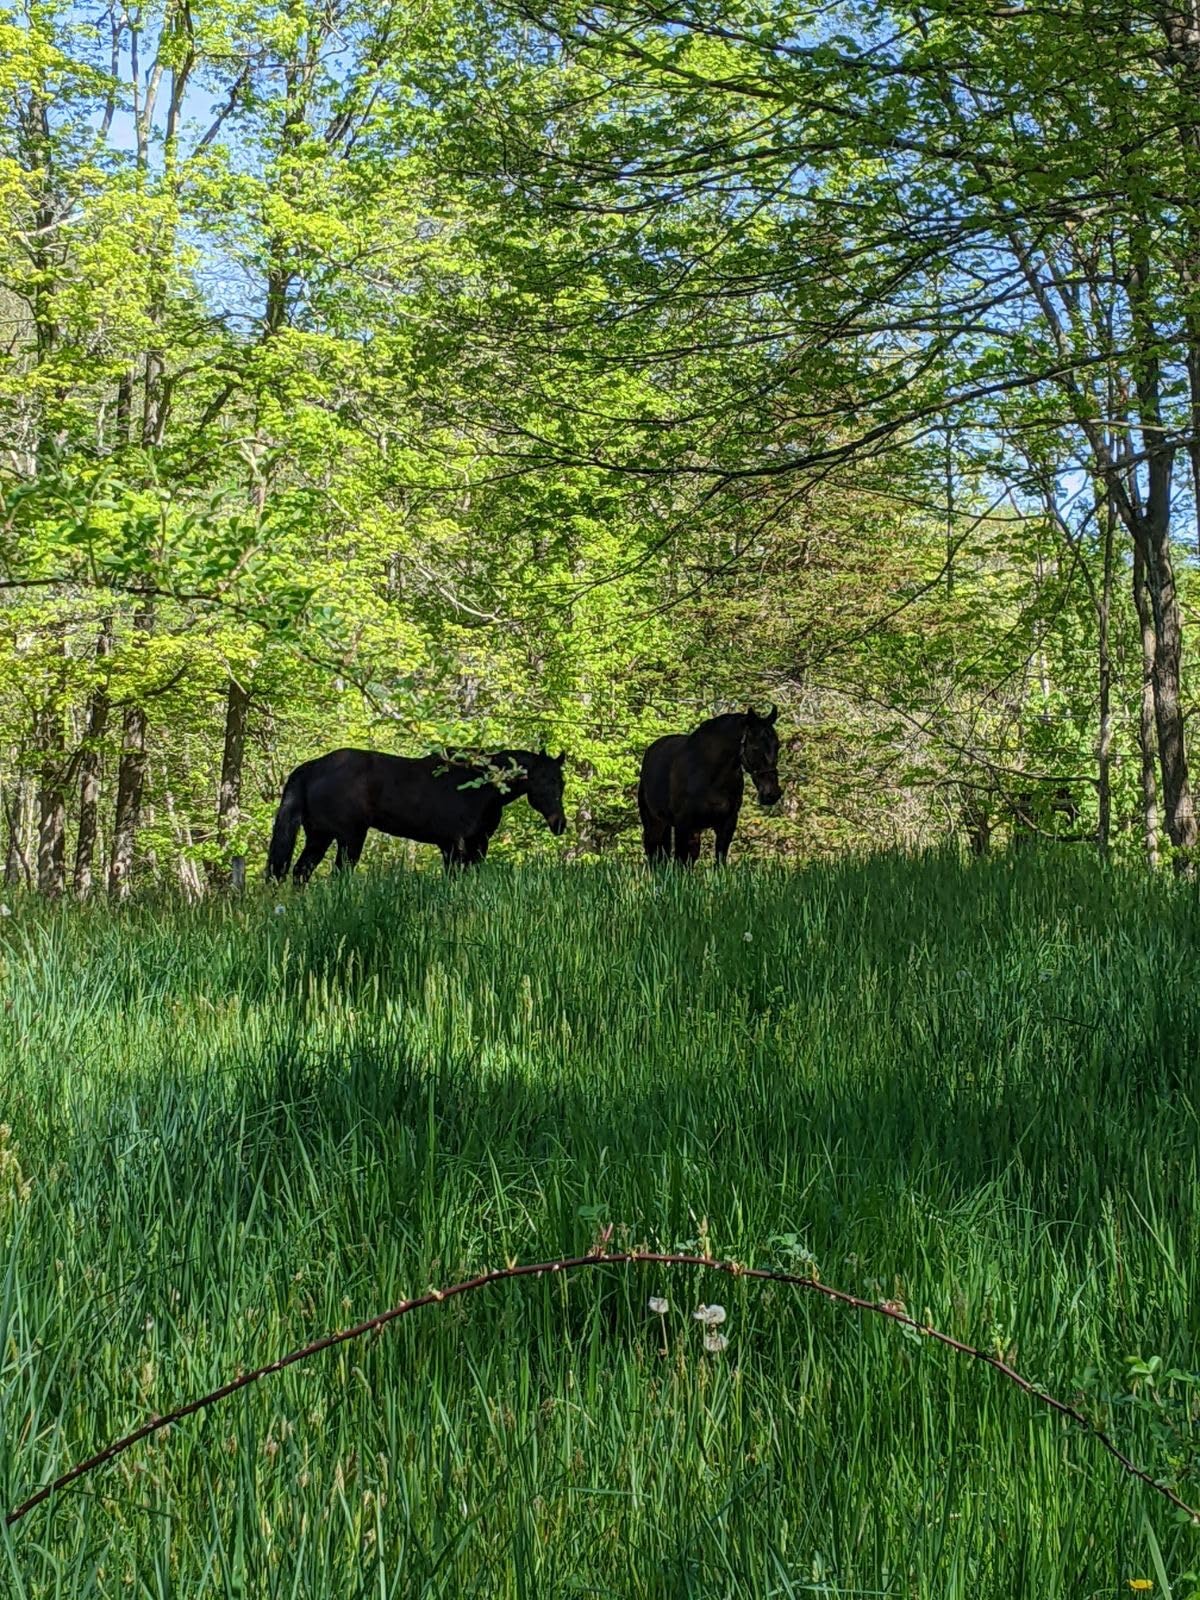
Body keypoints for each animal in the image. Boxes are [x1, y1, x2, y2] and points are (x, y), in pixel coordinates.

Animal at [266, 746, 568, 882]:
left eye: (561, 782)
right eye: (544, 780)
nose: (560, 824)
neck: (479, 788)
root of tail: (314, 767)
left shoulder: (477, 844)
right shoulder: (455, 844)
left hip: (320, 836)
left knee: (300, 872)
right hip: (349, 838)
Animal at [637, 707, 781, 866]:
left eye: (777, 746)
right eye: (755, 748)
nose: (772, 794)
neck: (710, 776)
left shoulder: (727, 823)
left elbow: (719, 860)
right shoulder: (683, 824)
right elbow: (680, 860)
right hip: (654, 822)